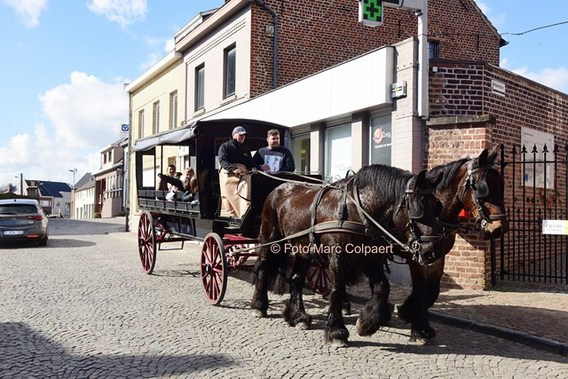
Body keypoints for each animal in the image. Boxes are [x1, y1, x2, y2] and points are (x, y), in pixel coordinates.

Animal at [252, 165, 444, 346]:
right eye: (417, 209)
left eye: (437, 207)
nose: (431, 251)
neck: (358, 212)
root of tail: (278, 189)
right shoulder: (338, 260)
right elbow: (337, 290)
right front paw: (336, 332)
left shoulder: (370, 260)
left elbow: (383, 286)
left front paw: (367, 323)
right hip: (271, 240)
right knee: (263, 268)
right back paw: (259, 306)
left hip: (303, 251)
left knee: (296, 279)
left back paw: (298, 317)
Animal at [394, 145, 510, 342]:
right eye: (482, 188)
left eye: (501, 185)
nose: (499, 227)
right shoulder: (416, 257)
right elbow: (420, 291)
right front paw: (414, 325)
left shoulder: (437, 256)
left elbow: (431, 292)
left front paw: (419, 322)